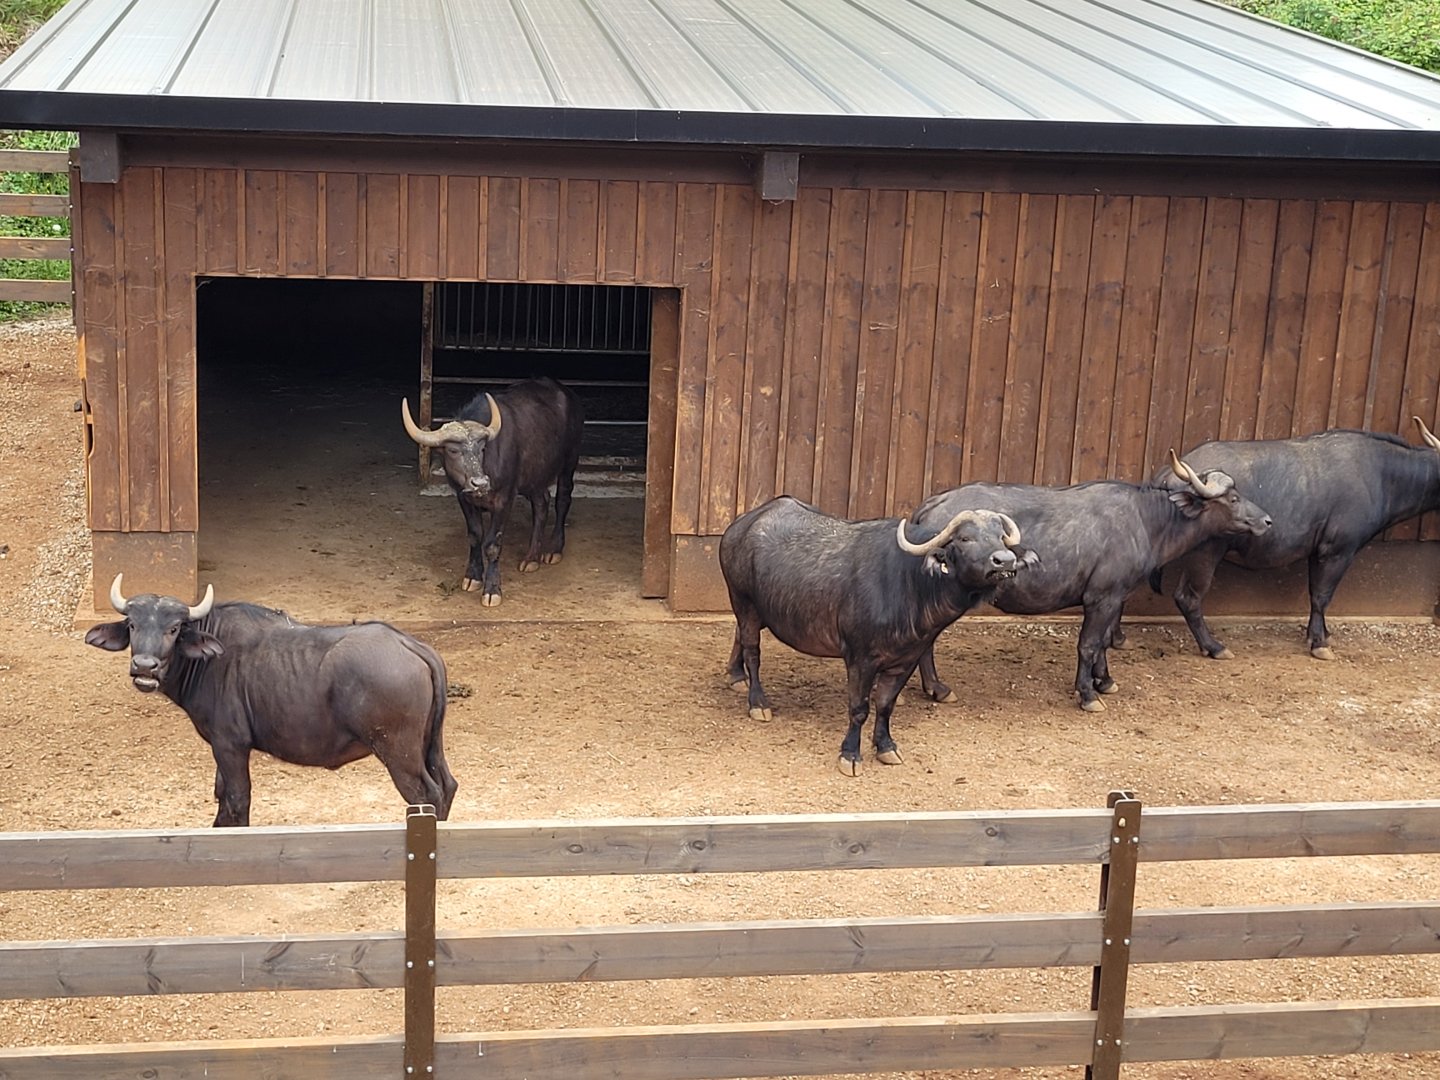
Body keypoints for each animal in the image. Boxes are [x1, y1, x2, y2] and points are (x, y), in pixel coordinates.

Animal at [85, 575, 457, 826]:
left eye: (174, 628)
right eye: (133, 625)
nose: (144, 667)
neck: (210, 658)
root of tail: (410, 644)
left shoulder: (230, 744)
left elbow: (237, 797)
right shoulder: (222, 749)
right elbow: (221, 793)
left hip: (398, 752)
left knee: (427, 795)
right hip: (430, 745)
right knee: (448, 785)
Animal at [403, 376, 584, 606]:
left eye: (482, 448)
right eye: (453, 450)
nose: (480, 483)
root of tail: (569, 396)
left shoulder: (504, 499)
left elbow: (492, 544)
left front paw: (492, 589)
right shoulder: (463, 497)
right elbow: (474, 536)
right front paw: (472, 577)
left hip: (570, 461)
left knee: (562, 500)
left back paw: (553, 550)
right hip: (536, 474)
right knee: (542, 503)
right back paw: (531, 558)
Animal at [719, 495, 1037, 775]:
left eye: (1000, 537)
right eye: (964, 538)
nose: (1004, 561)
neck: (912, 584)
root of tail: (739, 527)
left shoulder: (906, 660)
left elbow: (886, 705)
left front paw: (885, 747)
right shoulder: (861, 659)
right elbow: (859, 708)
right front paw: (850, 754)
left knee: (738, 635)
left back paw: (736, 677)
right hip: (743, 601)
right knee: (752, 650)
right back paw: (758, 702)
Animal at [910, 451, 1272, 711]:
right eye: (1233, 499)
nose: (1267, 521)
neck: (1146, 521)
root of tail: (931, 505)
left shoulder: (1116, 597)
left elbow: (1103, 643)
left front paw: (1105, 680)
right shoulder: (1101, 597)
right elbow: (1088, 644)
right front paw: (1087, 694)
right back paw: (938, 688)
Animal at [1122, 419, 1440, 661]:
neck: (1381, 473)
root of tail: (1168, 473)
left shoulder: (1317, 552)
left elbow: (1315, 593)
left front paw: (1321, 634)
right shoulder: (1337, 551)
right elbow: (1322, 595)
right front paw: (1319, 644)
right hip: (1206, 553)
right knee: (1188, 598)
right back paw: (1214, 647)